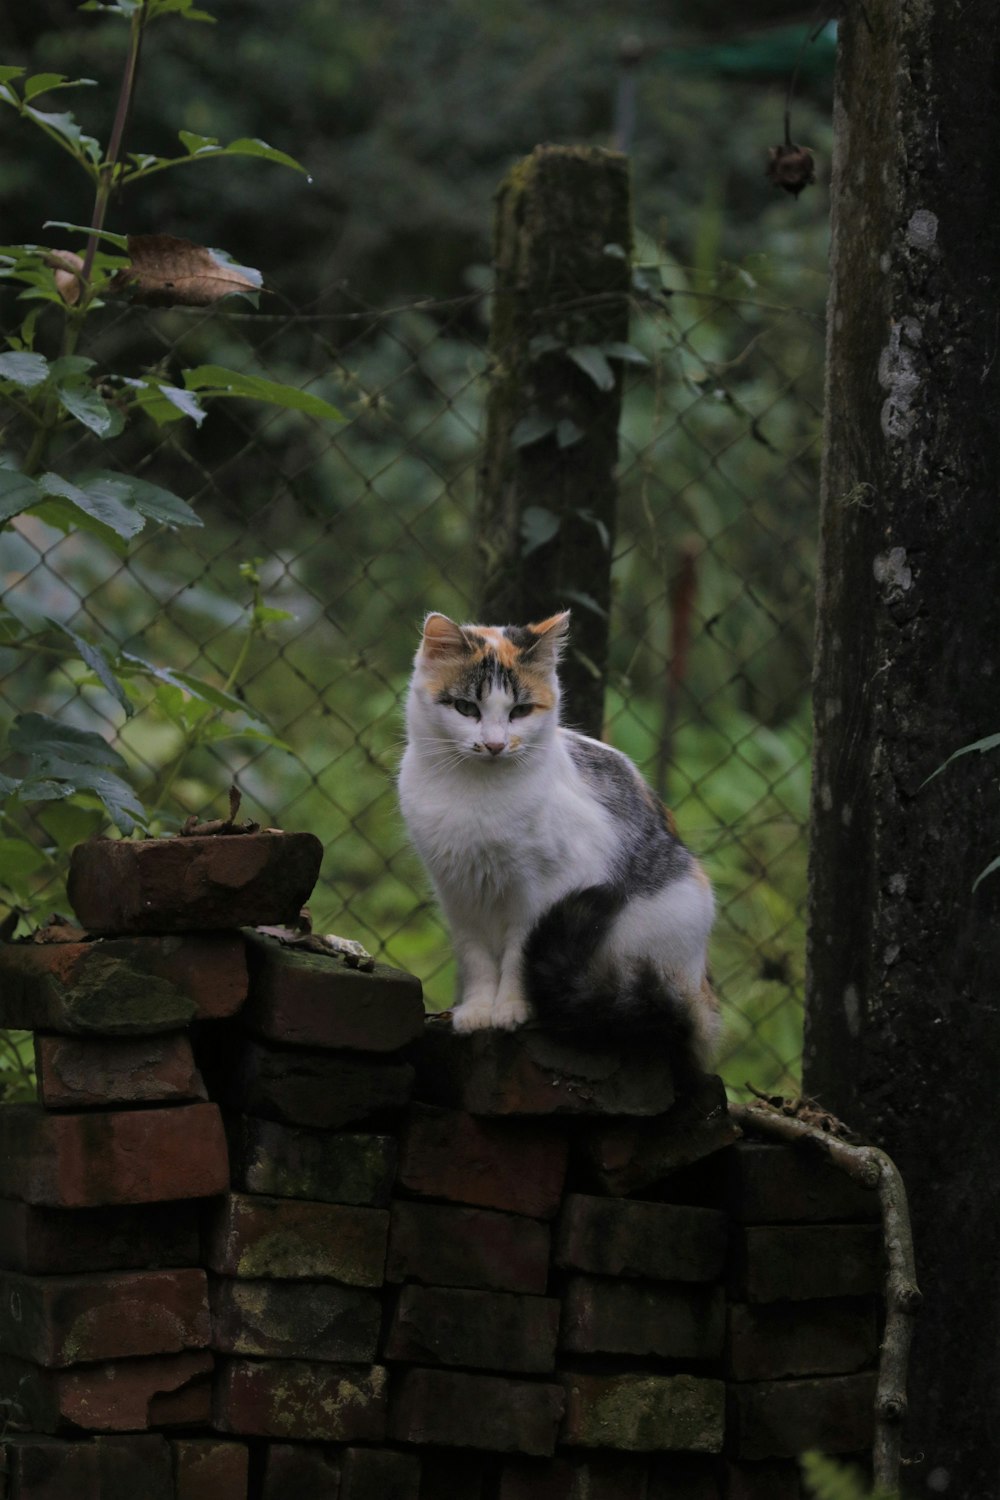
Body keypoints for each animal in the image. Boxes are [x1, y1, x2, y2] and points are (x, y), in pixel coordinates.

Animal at [398, 603, 719, 1074]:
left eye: (520, 711)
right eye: (465, 707)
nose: (495, 745)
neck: (476, 794)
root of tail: (699, 991)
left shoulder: (543, 891)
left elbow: (518, 954)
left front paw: (511, 1008)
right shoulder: (458, 893)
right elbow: (476, 957)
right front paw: (476, 1010)